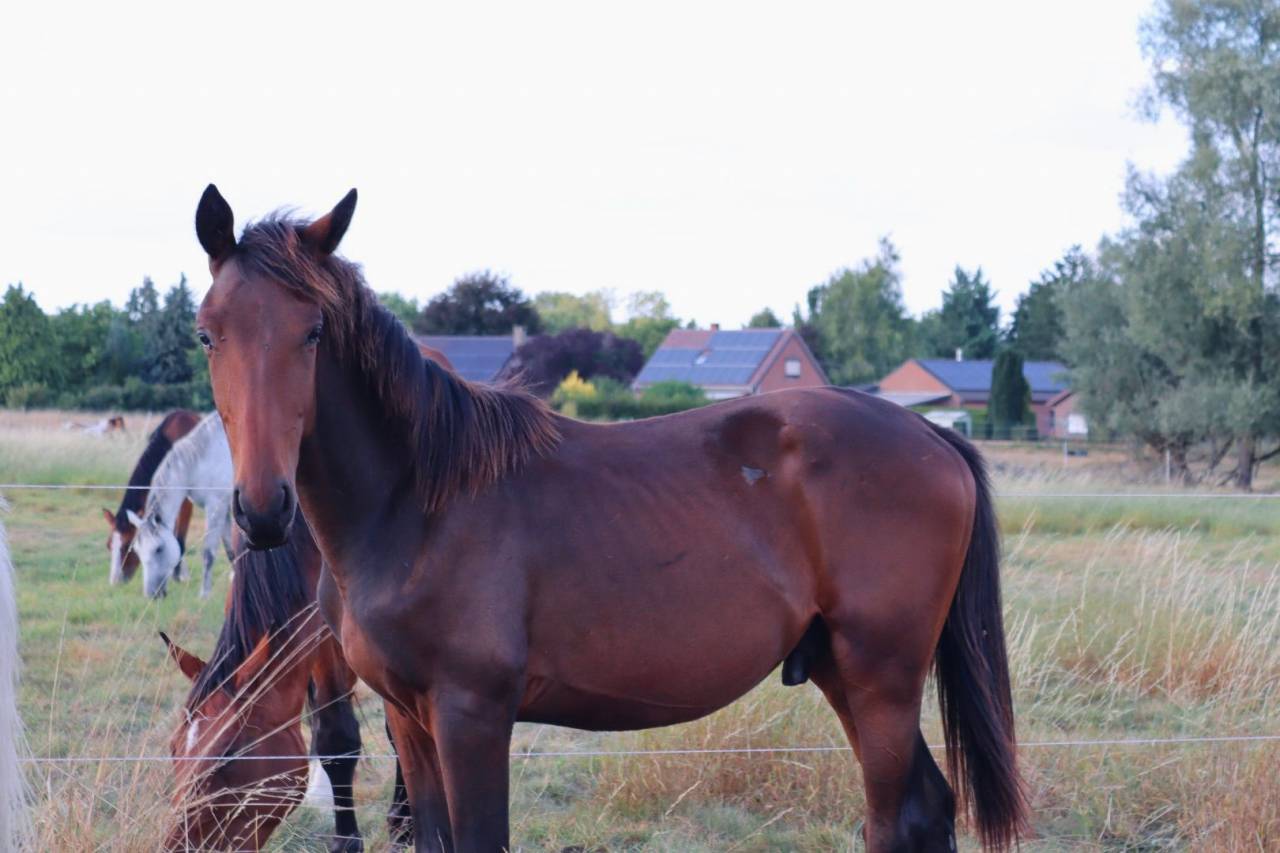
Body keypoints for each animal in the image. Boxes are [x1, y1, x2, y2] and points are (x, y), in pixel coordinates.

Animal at [104, 409, 202, 585]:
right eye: (109, 545)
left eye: (128, 545)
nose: (115, 582)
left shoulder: (184, 500)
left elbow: (180, 538)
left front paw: (181, 576)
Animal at [129, 411, 235, 599]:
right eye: (137, 551)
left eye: (158, 549)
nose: (152, 595)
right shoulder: (224, 509)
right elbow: (231, 549)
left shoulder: (215, 507)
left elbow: (208, 553)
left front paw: (204, 594)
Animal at [192, 185, 1025, 852]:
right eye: (208, 331)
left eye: (314, 331)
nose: (263, 509)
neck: (414, 503)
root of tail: (933, 435)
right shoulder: (409, 718)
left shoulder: (472, 715)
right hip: (840, 670)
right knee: (926, 809)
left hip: (881, 676)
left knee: (894, 818)